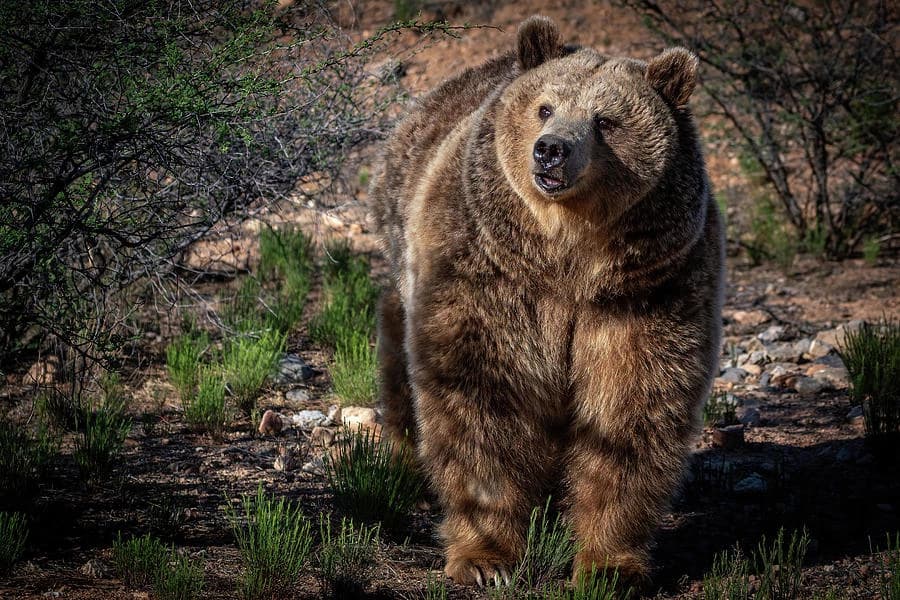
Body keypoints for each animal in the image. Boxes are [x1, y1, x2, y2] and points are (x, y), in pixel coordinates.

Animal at [371, 15, 724, 589]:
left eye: (606, 120)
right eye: (545, 107)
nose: (551, 149)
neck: (568, 254)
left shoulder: (649, 290)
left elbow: (628, 408)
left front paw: (608, 565)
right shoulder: (488, 273)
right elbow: (481, 396)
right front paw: (485, 558)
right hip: (402, 233)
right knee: (400, 356)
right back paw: (407, 463)